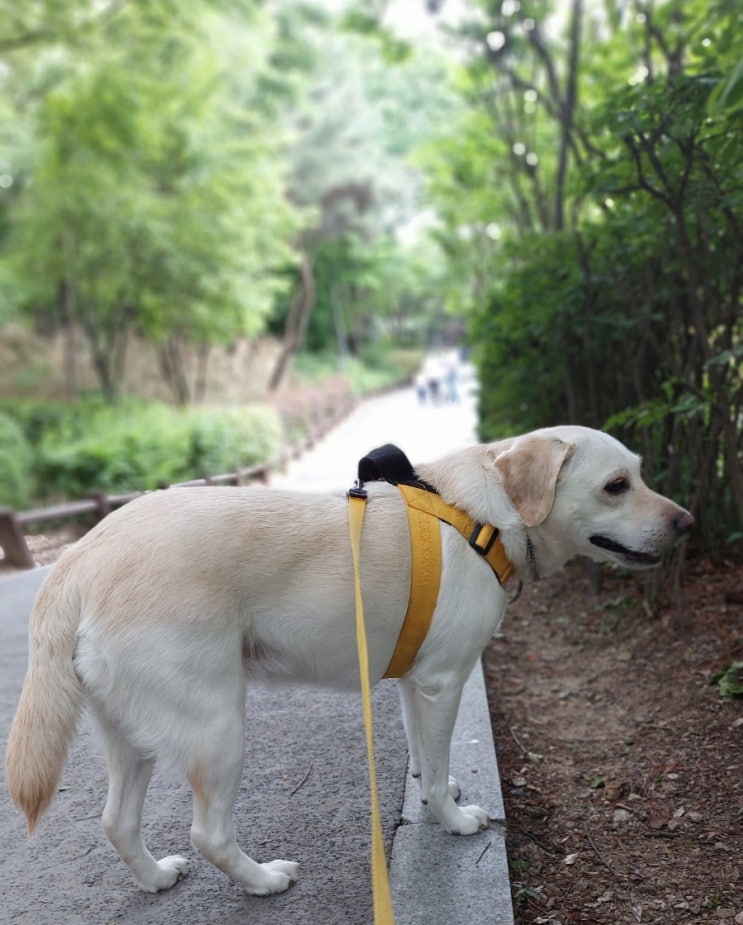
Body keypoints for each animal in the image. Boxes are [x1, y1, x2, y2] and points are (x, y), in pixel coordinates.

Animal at [4, 426, 692, 896]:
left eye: (639, 474)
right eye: (616, 486)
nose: (688, 522)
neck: (488, 515)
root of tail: (80, 555)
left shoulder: (418, 682)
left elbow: (425, 754)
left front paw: (435, 787)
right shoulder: (445, 682)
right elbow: (436, 770)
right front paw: (453, 819)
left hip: (131, 734)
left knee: (116, 822)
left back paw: (154, 878)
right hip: (215, 725)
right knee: (209, 834)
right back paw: (263, 880)